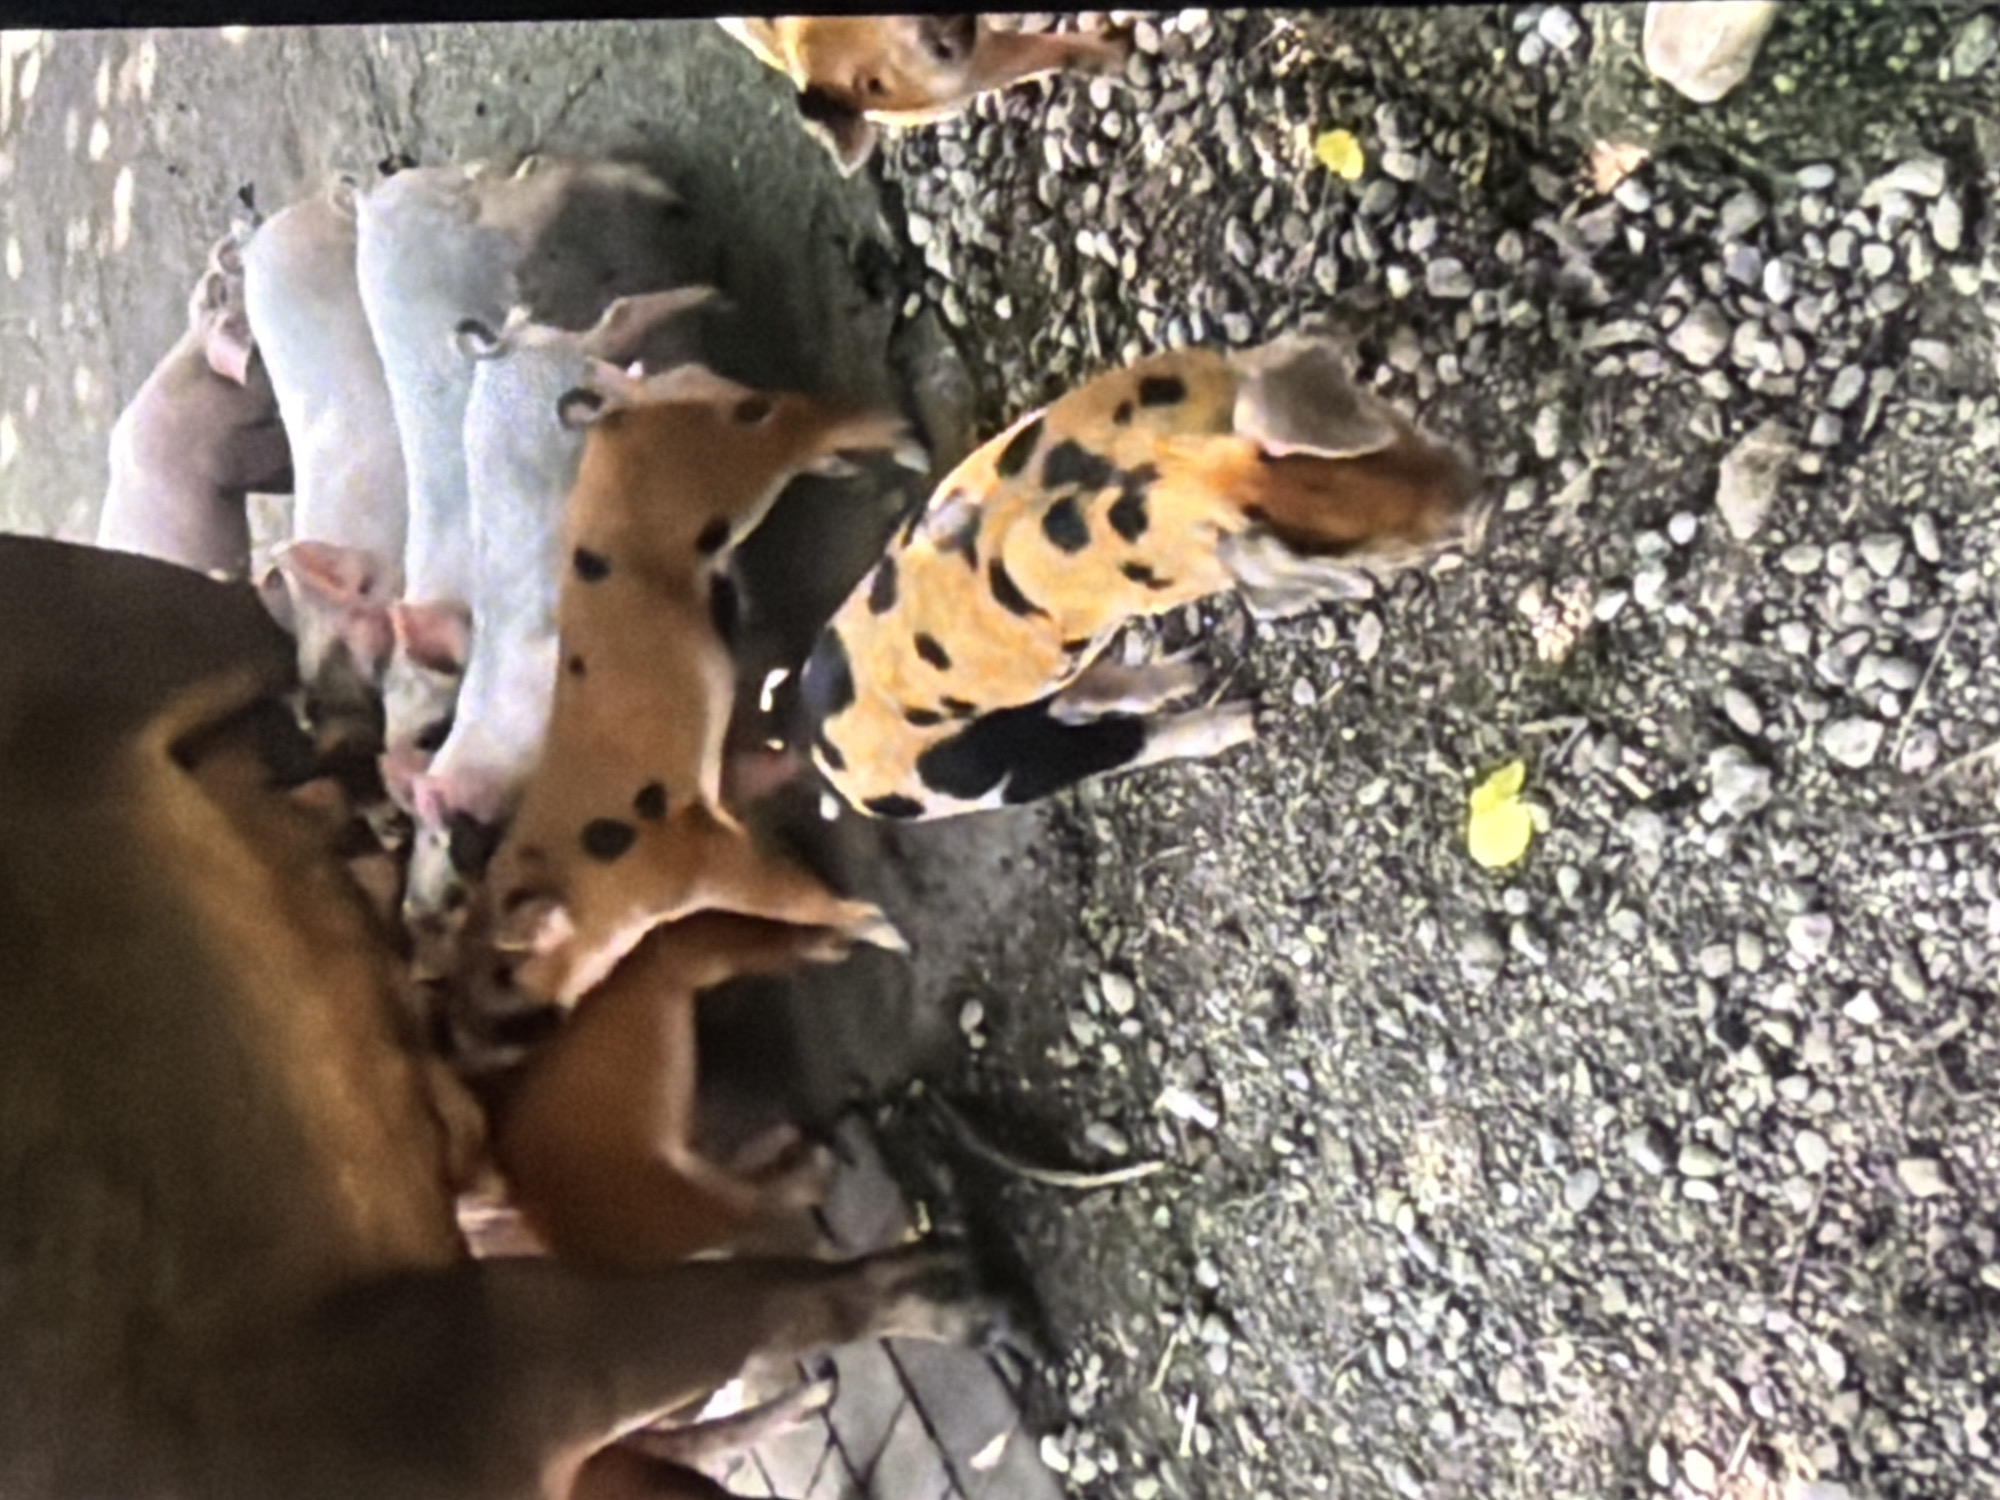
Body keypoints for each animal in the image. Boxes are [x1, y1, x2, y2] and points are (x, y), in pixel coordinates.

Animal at [402, 285, 720, 937]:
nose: (412, 909)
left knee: (618, 323)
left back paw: (710, 299)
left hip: (569, 364)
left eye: (436, 837)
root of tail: (503, 351)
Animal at [478, 360, 926, 1008]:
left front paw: (889, 935)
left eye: (502, 974)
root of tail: (629, 405)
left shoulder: (689, 860)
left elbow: (785, 892)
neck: (587, 878)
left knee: (798, 418)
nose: (483, 1016)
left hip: (731, 467)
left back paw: (909, 443)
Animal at [796, 333, 1485, 820]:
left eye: (1395, 428)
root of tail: (824, 758)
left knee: (1077, 696)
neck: (1165, 471)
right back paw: (1245, 715)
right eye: (1381, 550)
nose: (1482, 497)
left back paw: (1193, 669)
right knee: (1114, 745)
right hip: (988, 774)